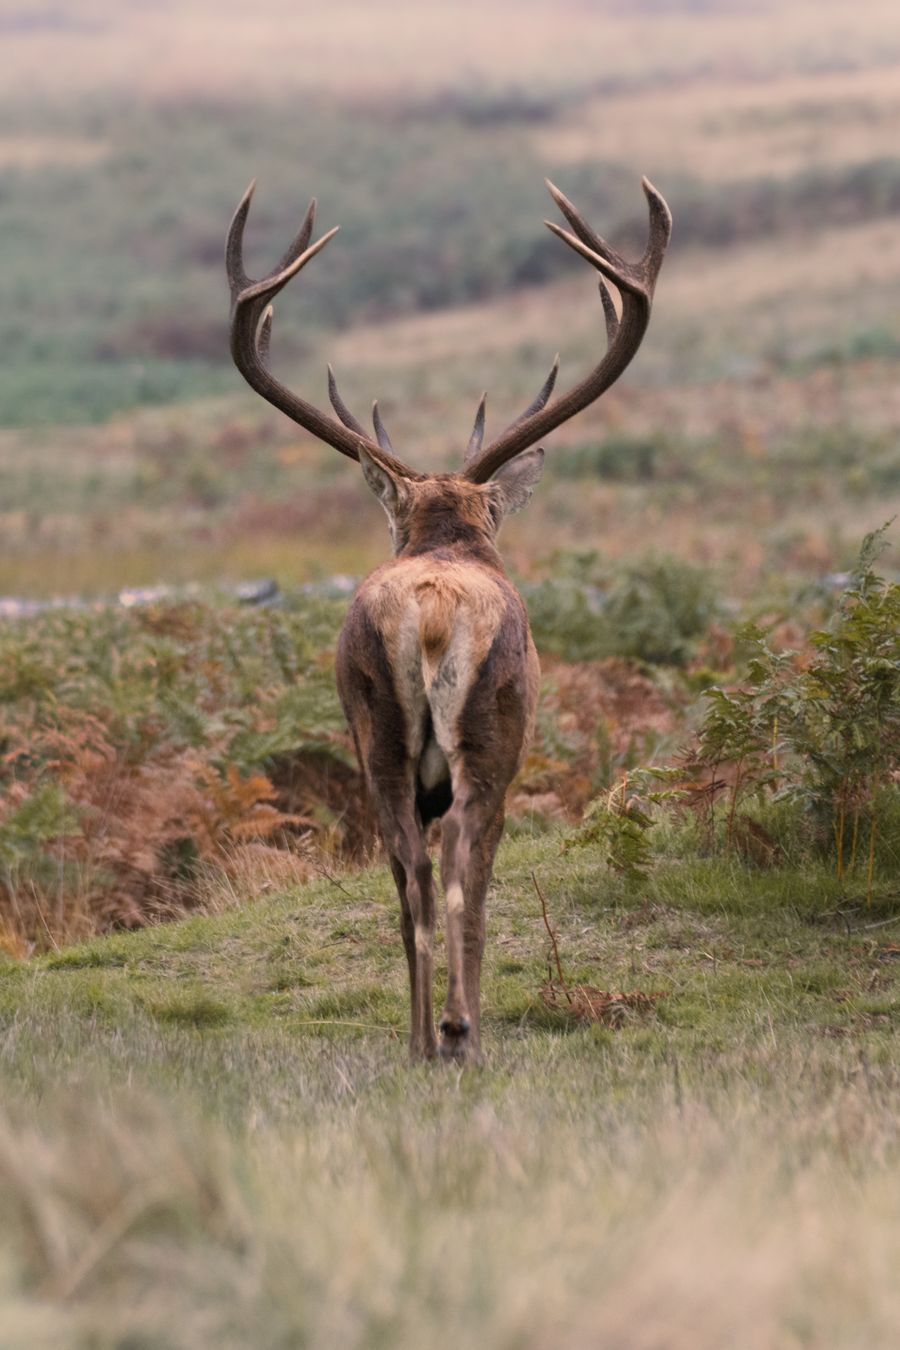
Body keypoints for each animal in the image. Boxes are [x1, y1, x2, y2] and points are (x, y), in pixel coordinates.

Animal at [226, 174, 671, 1063]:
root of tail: (430, 611)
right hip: (490, 729)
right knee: (465, 862)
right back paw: (462, 1029)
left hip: (376, 735)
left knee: (412, 875)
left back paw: (421, 1039)